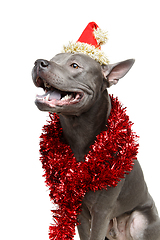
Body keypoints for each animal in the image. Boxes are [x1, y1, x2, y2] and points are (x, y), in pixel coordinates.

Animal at [31, 53, 160, 240]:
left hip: (139, 221)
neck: (79, 133)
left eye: (75, 65)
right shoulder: (79, 210)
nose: (38, 62)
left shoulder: (101, 211)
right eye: (55, 58)